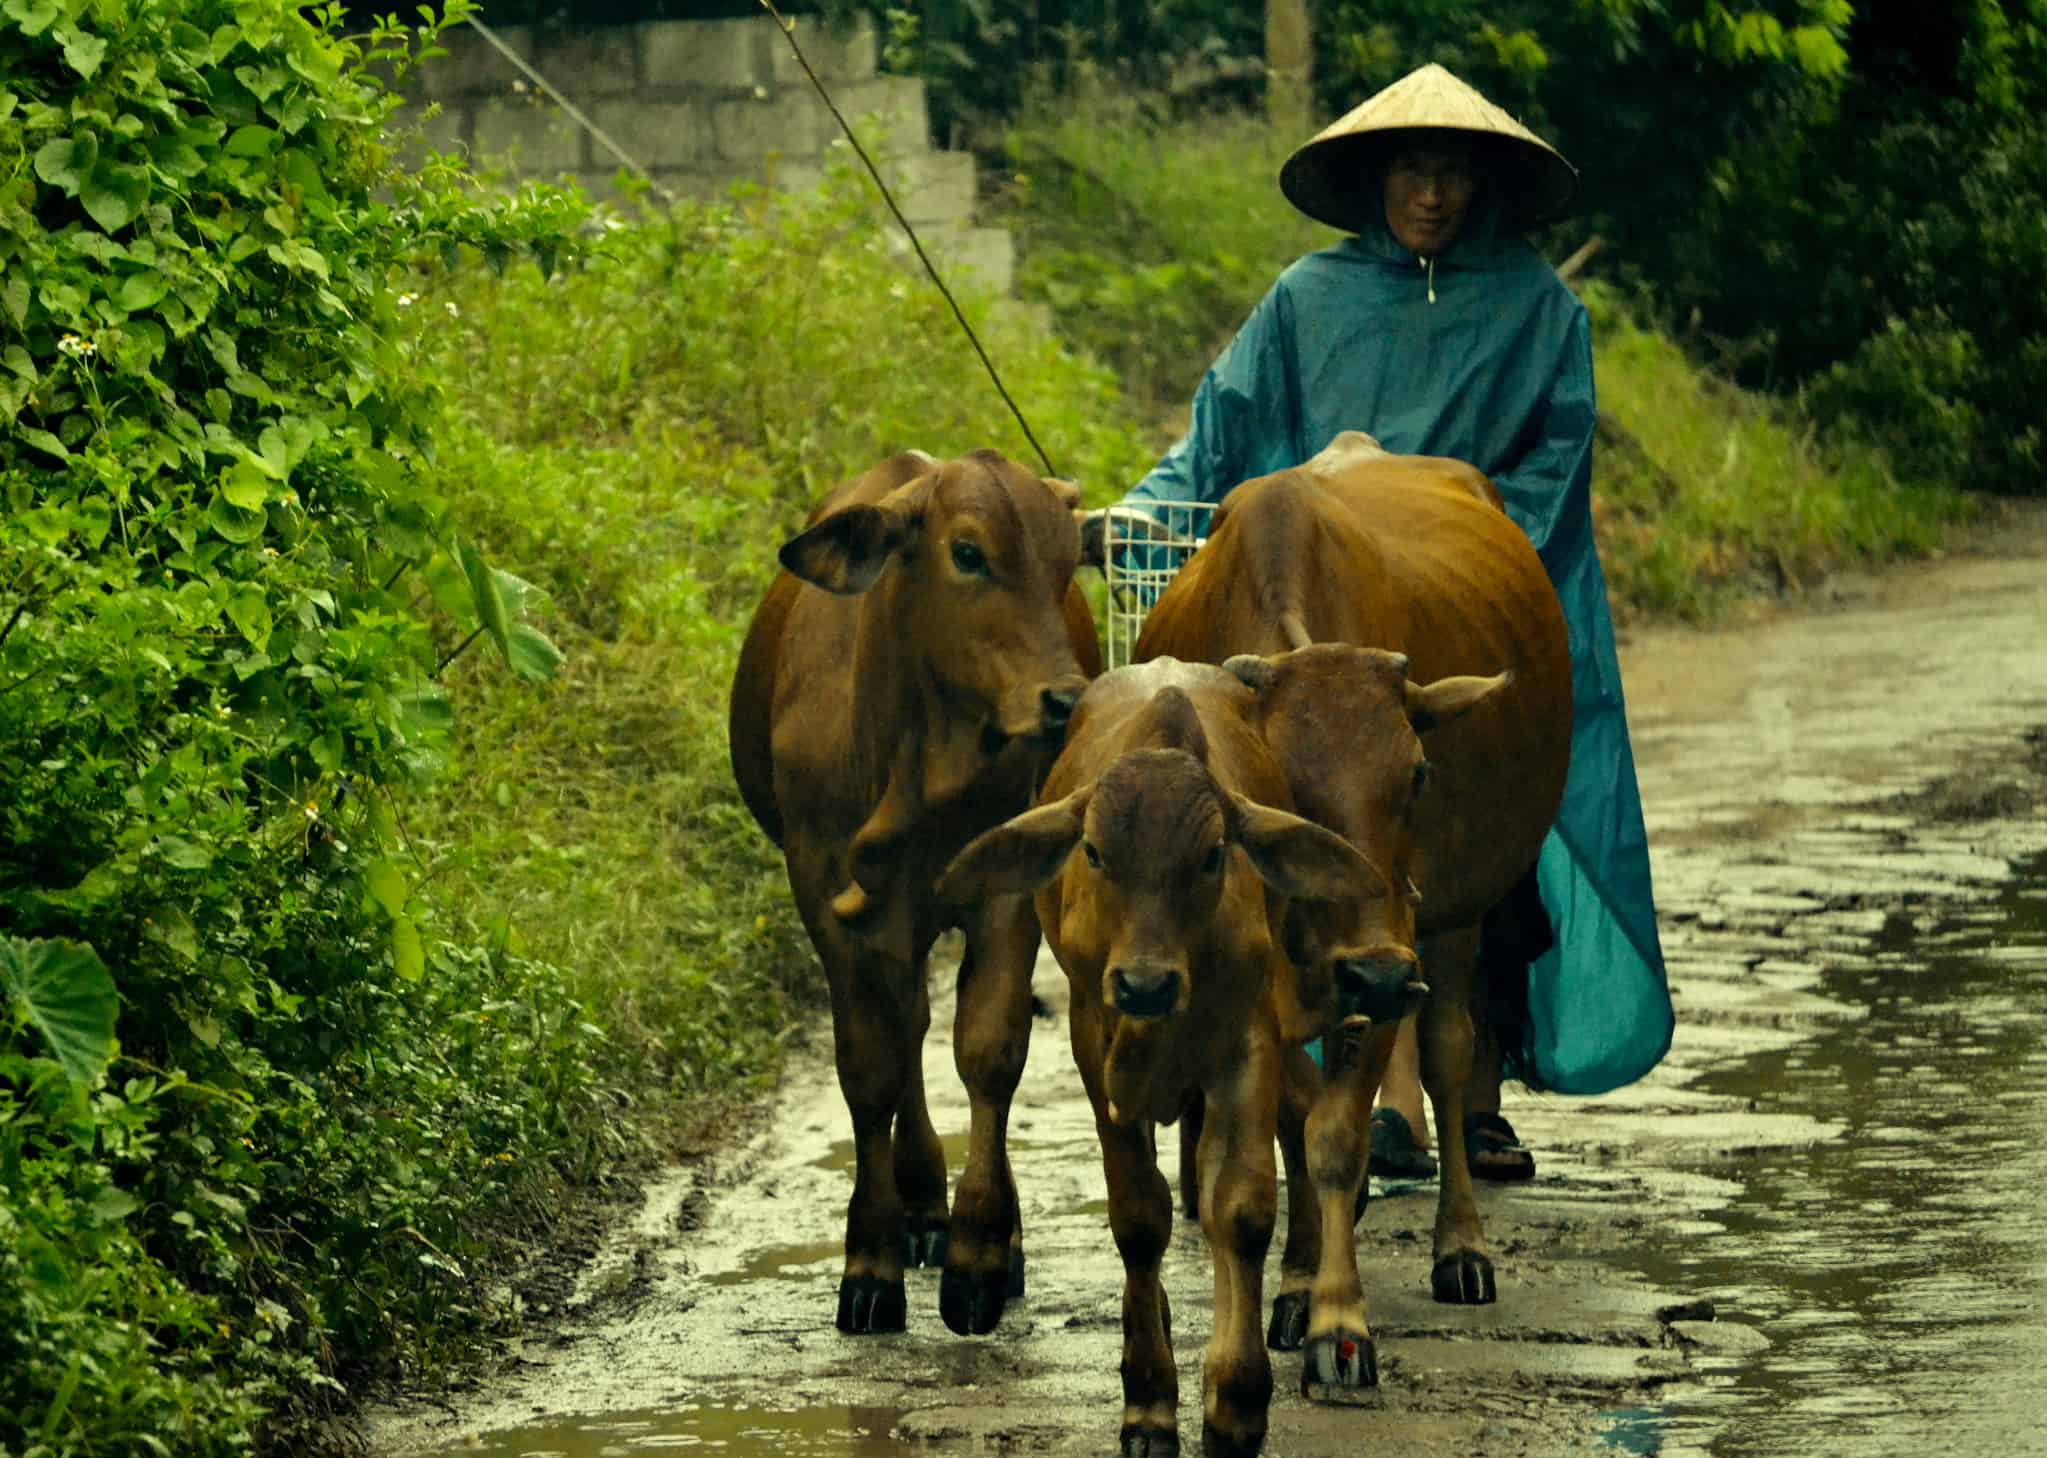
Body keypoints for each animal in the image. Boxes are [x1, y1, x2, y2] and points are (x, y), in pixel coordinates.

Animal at [724, 450, 1097, 1335]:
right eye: (966, 554)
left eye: (1067, 560)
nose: (1064, 704)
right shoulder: (825, 895)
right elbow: (871, 1064)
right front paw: (870, 1261)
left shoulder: (1008, 892)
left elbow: (989, 1050)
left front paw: (981, 1256)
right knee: (905, 1028)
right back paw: (921, 1202)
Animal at [937, 659, 1391, 1458]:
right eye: (1093, 853)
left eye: (1211, 855)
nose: (1144, 985)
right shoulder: (1096, 1046)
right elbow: (1139, 1217)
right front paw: (1148, 1403)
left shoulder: (1247, 1042)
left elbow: (1239, 1210)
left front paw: (1233, 1404)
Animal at [1129, 432, 1572, 1392]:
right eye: (1283, 788)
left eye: (1418, 775)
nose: (1375, 972)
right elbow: (1290, 1123)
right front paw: (1296, 1287)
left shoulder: (1390, 951)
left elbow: (1334, 1132)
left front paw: (1339, 1321)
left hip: (1449, 927)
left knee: (1448, 1055)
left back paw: (1460, 1247)